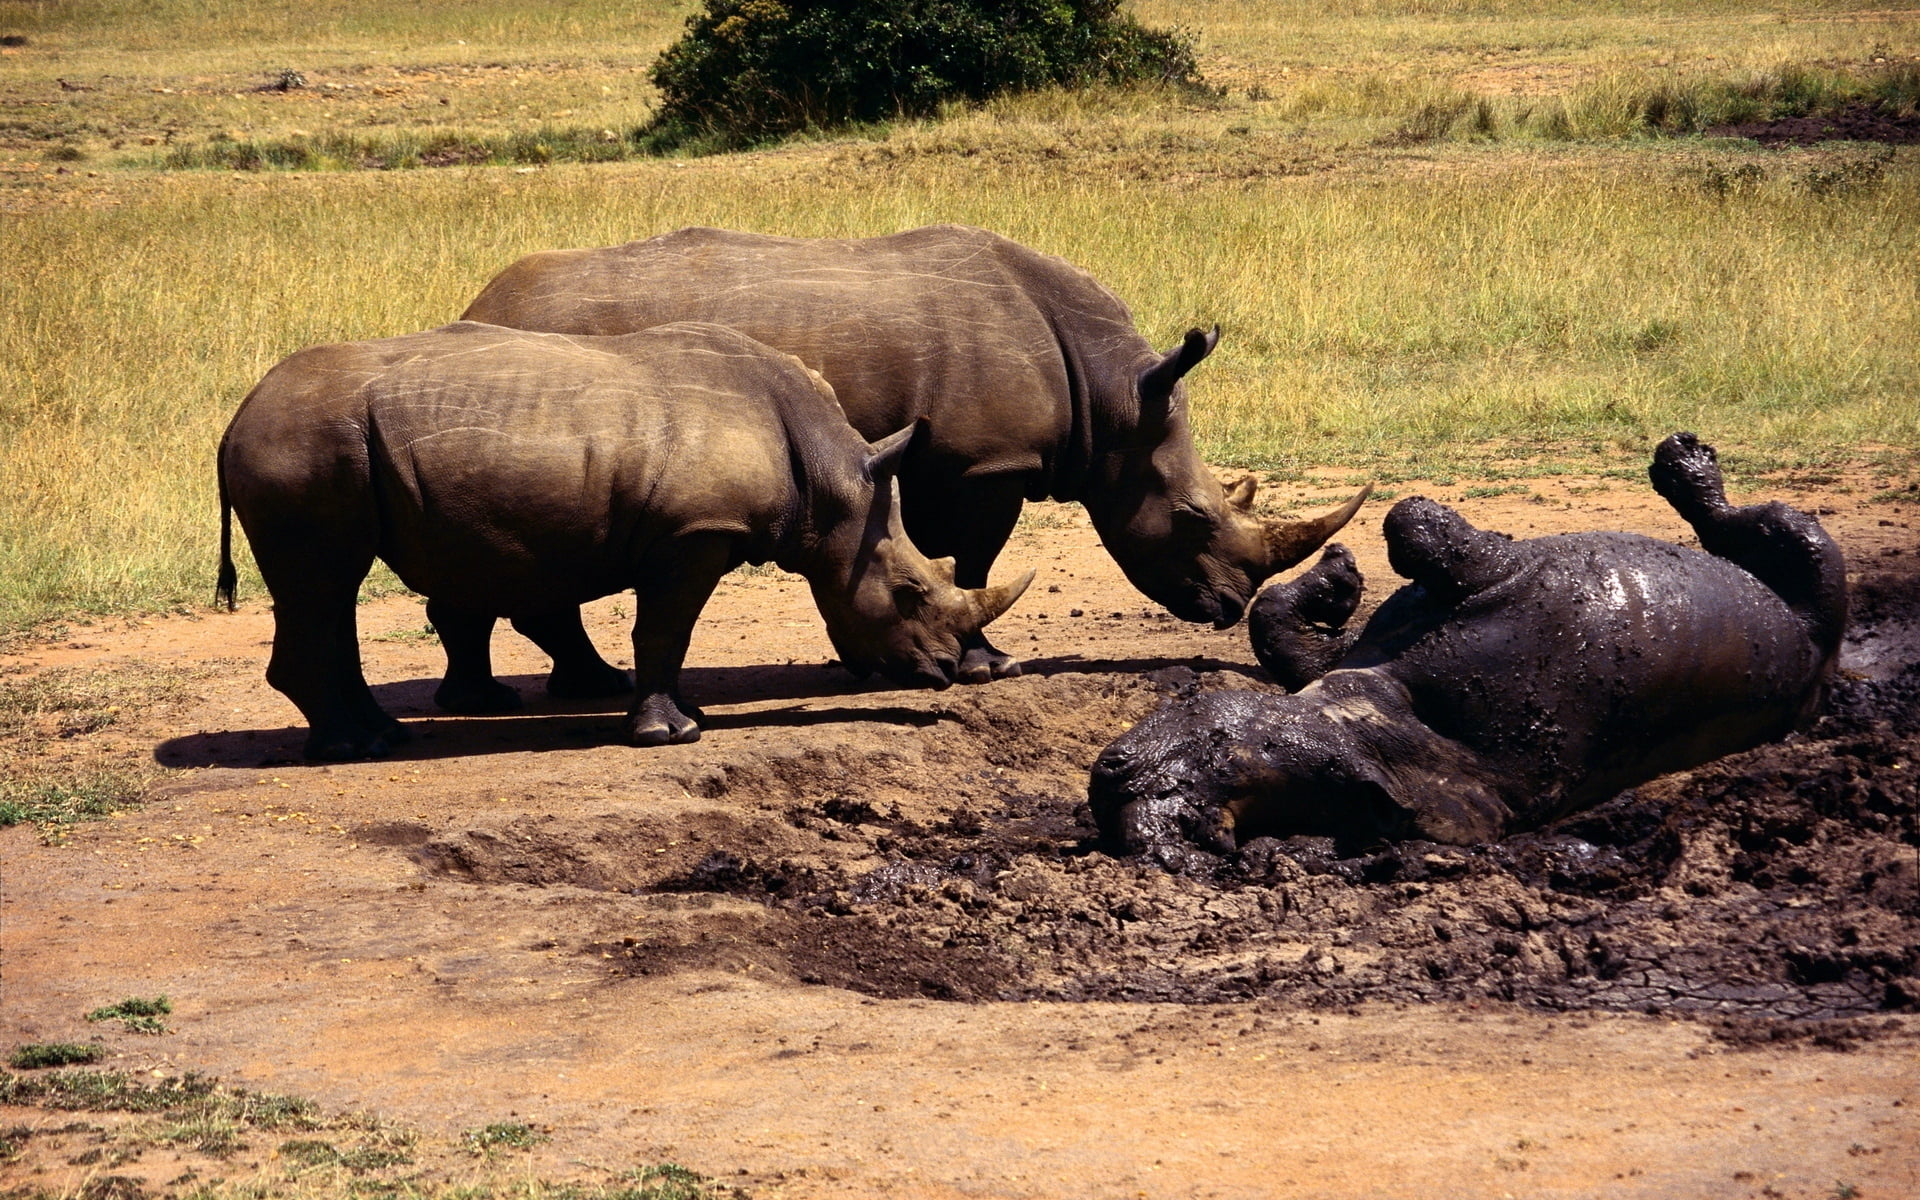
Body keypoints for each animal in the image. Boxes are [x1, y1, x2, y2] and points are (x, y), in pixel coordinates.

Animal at [216, 320, 1031, 761]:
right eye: (909, 592)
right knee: (322, 582)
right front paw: (674, 735)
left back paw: (380, 736)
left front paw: (687, 717)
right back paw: (356, 749)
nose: (945, 672)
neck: (832, 487)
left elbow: (666, 632)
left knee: (330, 589)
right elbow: (665, 629)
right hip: (304, 449)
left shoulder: (689, 533)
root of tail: (234, 422)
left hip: (323, 448)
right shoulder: (693, 533)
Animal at [461, 224, 1368, 683]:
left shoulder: (946, 462)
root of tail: (479, 302)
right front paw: (987, 664)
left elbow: (927, 552)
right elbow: (975, 558)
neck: (1113, 397)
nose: (1231, 608)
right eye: (1190, 518)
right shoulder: (990, 462)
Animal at [1090, 433, 1847, 860]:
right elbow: (1395, 539)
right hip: (1801, 553)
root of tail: (1822, 659)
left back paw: (1683, 459)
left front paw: (1340, 574)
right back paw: (1684, 462)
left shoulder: (1487, 586)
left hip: (1803, 551)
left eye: (1219, 749)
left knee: (1742, 520)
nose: (1130, 798)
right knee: (1739, 522)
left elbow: (1405, 529)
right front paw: (1342, 575)